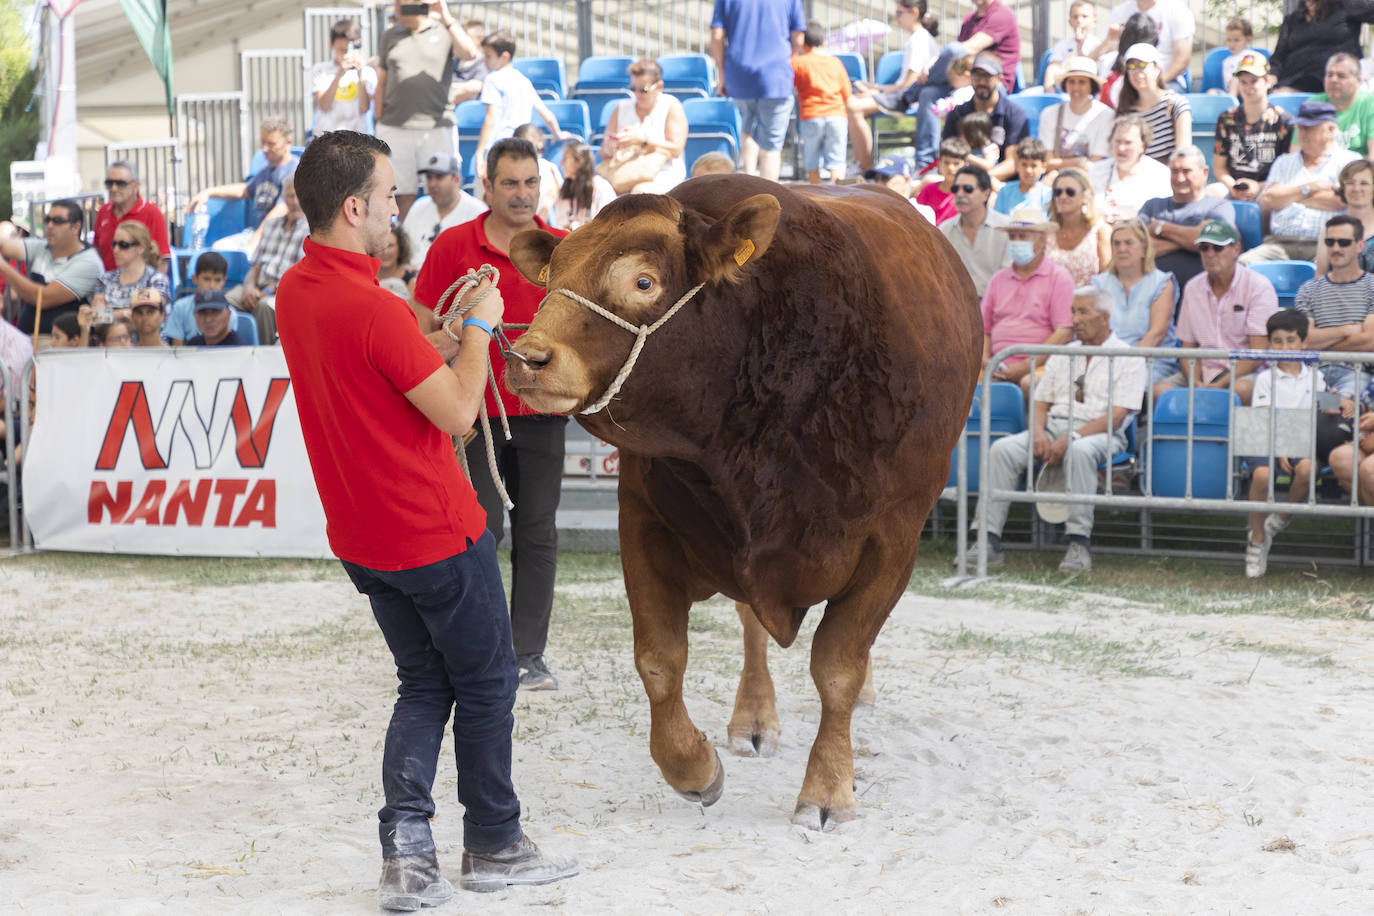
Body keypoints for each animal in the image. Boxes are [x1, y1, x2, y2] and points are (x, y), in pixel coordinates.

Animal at [511, 171, 983, 829]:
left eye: (643, 281)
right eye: (552, 276)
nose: (528, 357)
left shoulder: (891, 539)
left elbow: (838, 664)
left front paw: (828, 787)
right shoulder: (644, 518)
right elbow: (659, 660)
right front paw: (694, 768)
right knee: (751, 627)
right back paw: (754, 717)